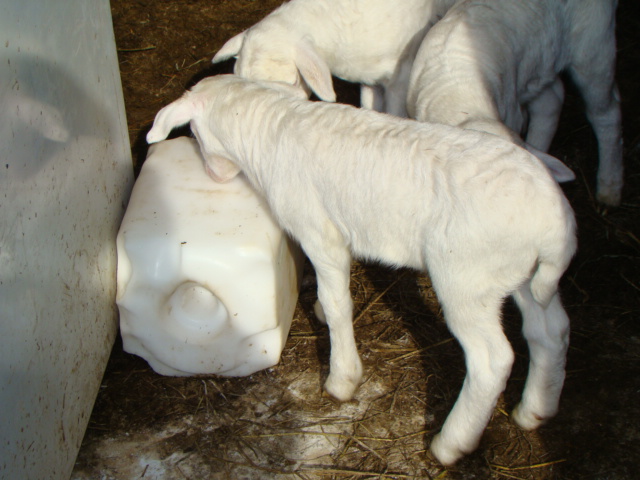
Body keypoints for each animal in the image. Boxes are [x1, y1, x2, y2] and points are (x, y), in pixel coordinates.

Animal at [146, 74, 577, 465]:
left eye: (194, 133)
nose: (214, 175)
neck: (270, 128)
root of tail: (555, 228)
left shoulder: (320, 233)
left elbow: (337, 303)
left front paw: (342, 379)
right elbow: (330, 296)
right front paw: (319, 315)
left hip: (467, 277)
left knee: (491, 360)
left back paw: (451, 443)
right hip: (522, 275)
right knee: (550, 330)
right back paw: (536, 410)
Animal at [406, 0, 624, 205]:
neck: (459, 91)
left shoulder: (512, 113)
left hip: (593, 45)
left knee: (606, 113)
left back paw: (610, 187)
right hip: (539, 65)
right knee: (552, 100)